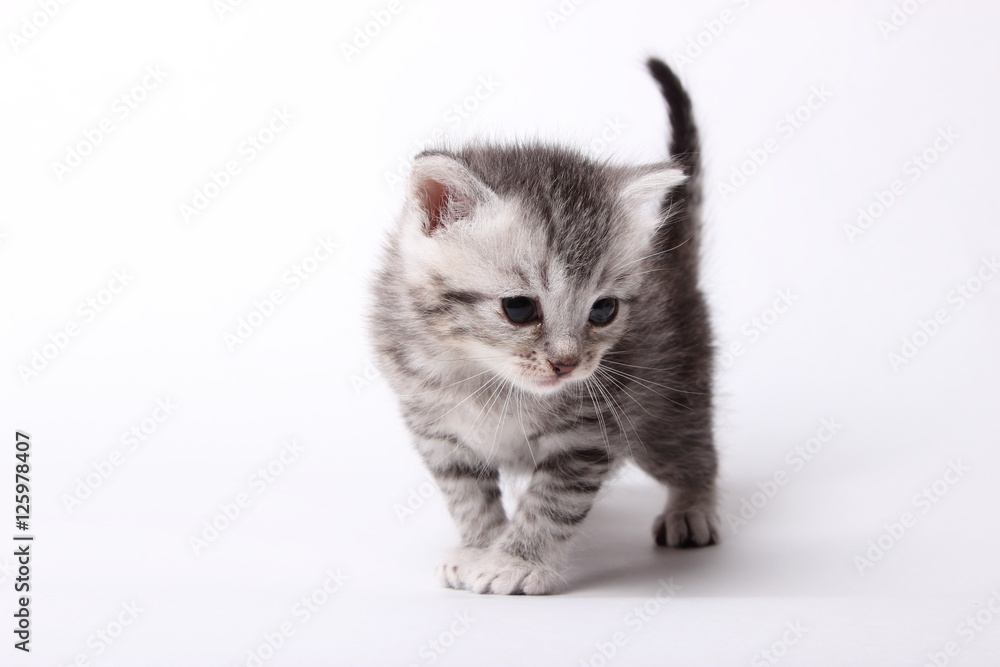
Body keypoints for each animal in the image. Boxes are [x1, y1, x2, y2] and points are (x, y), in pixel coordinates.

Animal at [372, 58, 716, 596]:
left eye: (603, 310)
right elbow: (467, 495)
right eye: (519, 309)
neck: (488, 377)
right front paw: (480, 546)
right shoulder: (436, 431)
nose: (567, 363)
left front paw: (516, 560)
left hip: (671, 404)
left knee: (695, 454)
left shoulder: (589, 433)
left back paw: (692, 507)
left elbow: (553, 502)